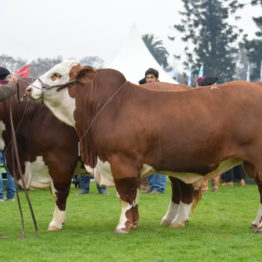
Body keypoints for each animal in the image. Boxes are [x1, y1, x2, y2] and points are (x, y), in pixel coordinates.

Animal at [25, 61, 262, 233]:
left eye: (57, 75)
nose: (28, 89)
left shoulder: (122, 160)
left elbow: (126, 194)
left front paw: (123, 226)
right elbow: (133, 196)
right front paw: (134, 223)